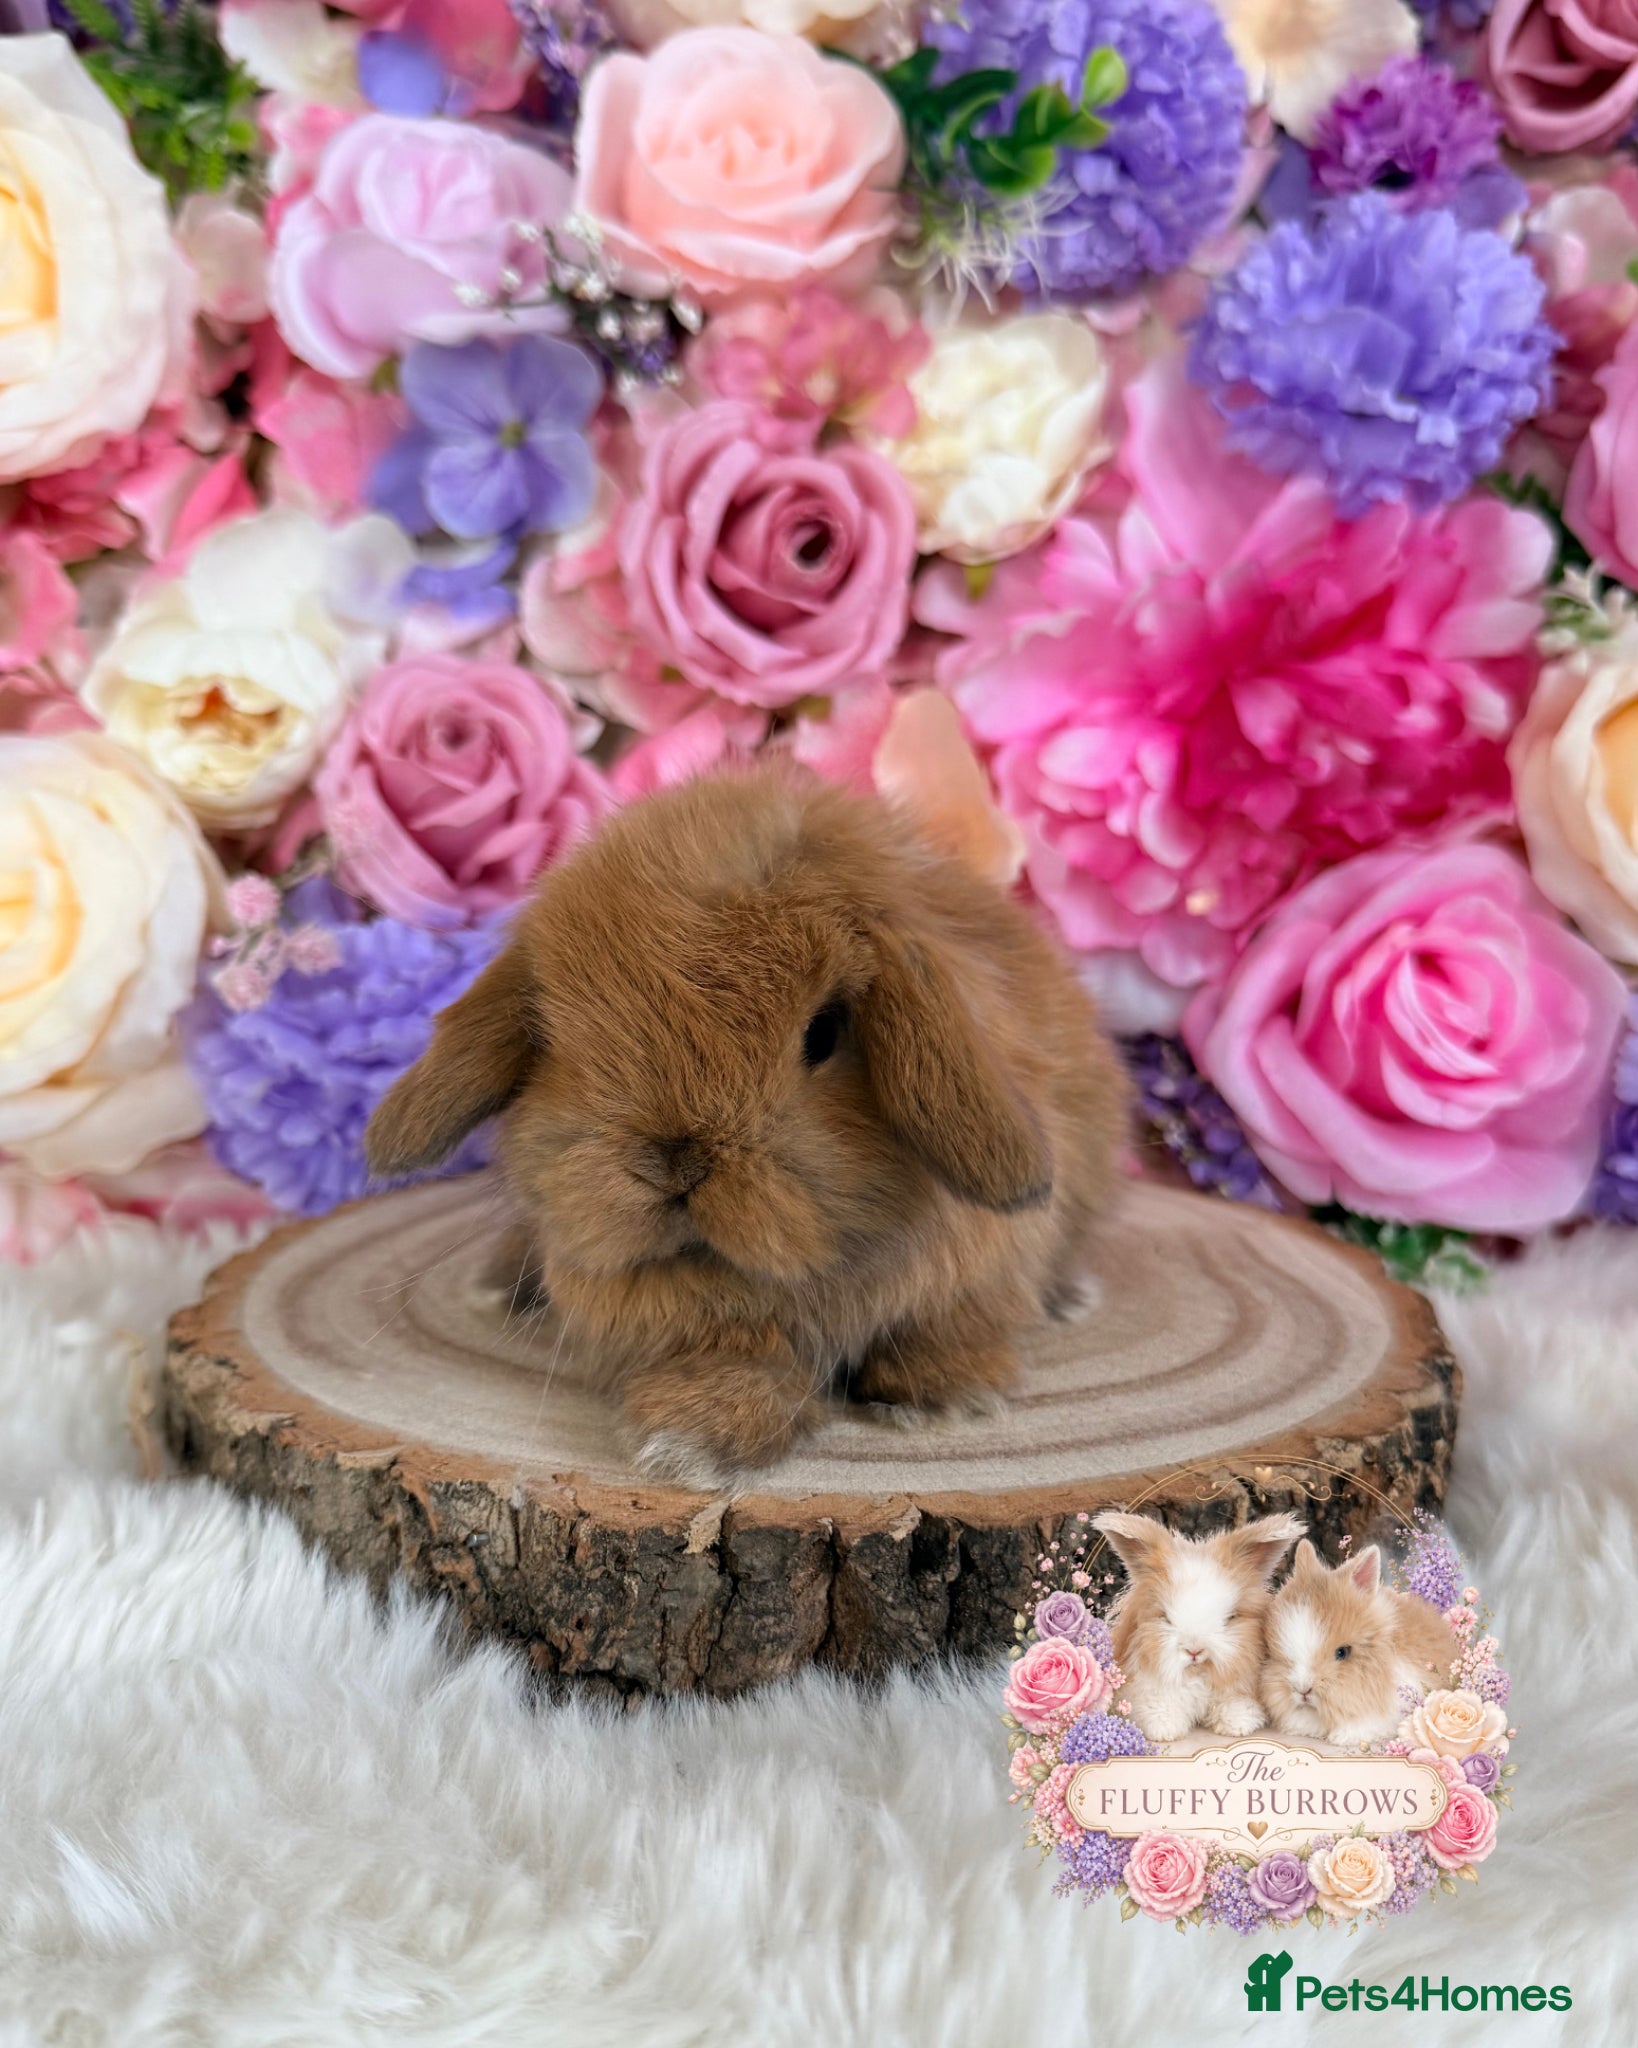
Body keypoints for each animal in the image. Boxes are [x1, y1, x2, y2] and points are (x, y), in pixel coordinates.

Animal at [365, 763, 1129, 1487]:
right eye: (552, 1035)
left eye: (823, 1034)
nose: (673, 1161)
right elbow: (737, 1366)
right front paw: (690, 1442)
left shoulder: (982, 1270)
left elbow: (952, 1324)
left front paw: (943, 1399)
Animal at [1092, 1509, 1308, 1743]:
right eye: (1165, 1617)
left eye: (1230, 1617)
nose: (1194, 1651)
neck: (1197, 1674)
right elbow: (1157, 1707)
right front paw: (1165, 1731)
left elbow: (1236, 1704)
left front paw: (1236, 1725)